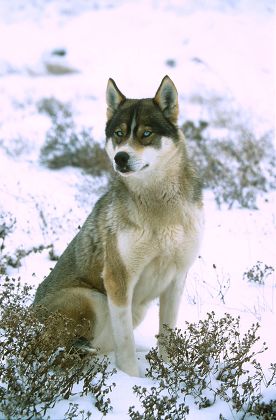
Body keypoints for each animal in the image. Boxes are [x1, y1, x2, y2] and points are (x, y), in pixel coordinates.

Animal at [34, 76, 203, 378]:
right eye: (119, 134)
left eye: (146, 134)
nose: (120, 158)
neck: (160, 210)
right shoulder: (118, 280)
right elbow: (125, 346)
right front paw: (134, 381)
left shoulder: (176, 279)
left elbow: (167, 336)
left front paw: (169, 372)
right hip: (91, 299)